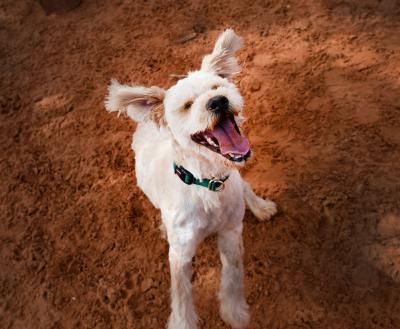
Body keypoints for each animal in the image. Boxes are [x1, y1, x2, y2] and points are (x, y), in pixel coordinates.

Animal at [104, 28, 276, 328]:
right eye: (186, 106)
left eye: (217, 87)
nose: (218, 101)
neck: (207, 184)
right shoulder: (180, 254)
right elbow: (181, 291)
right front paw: (183, 322)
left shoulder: (231, 231)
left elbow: (233, 274)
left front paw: (234, 311)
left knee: (244, 186)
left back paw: (260, 206)